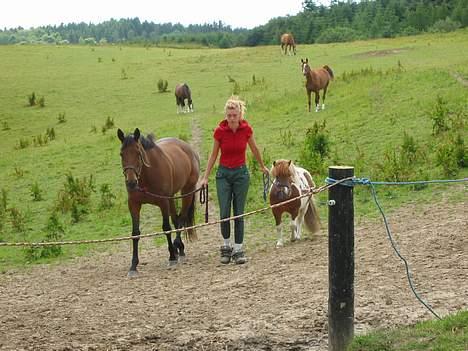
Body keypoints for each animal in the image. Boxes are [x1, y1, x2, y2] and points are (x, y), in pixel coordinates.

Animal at [117, 127, 199, 278]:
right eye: (121, 154)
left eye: (138, 153)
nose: (131, 182)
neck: (146, 176)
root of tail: (187, 148)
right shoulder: (134, 205)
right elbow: (135, 233)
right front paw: (133, 266)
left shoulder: (163, 203)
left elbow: (166, 228)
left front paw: (172, 258)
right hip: (171, 198)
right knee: (176, 220)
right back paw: (180, 249)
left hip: (187, 191)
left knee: (182, 218)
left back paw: (177, 247)